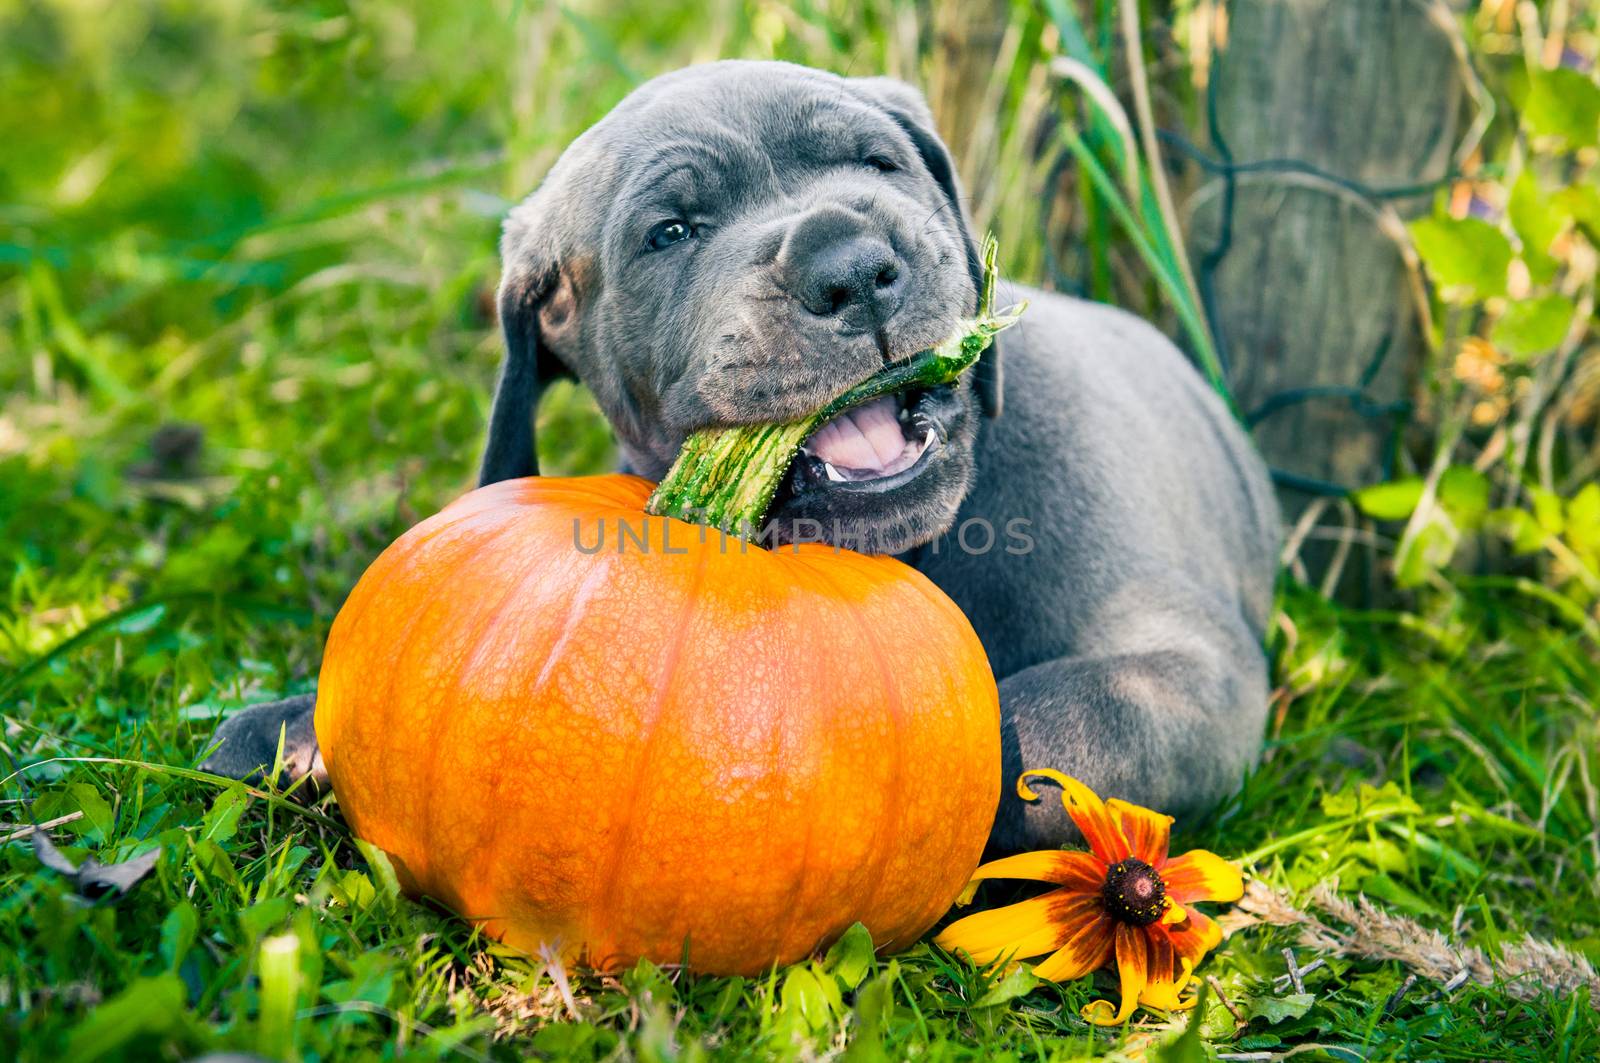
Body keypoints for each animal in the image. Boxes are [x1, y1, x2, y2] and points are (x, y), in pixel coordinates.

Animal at [203, 62, 1273, 851]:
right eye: (671, 232)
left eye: (879, 163)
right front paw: (293, 729)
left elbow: (1034, 725)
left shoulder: (1193, 673)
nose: (851, 266)